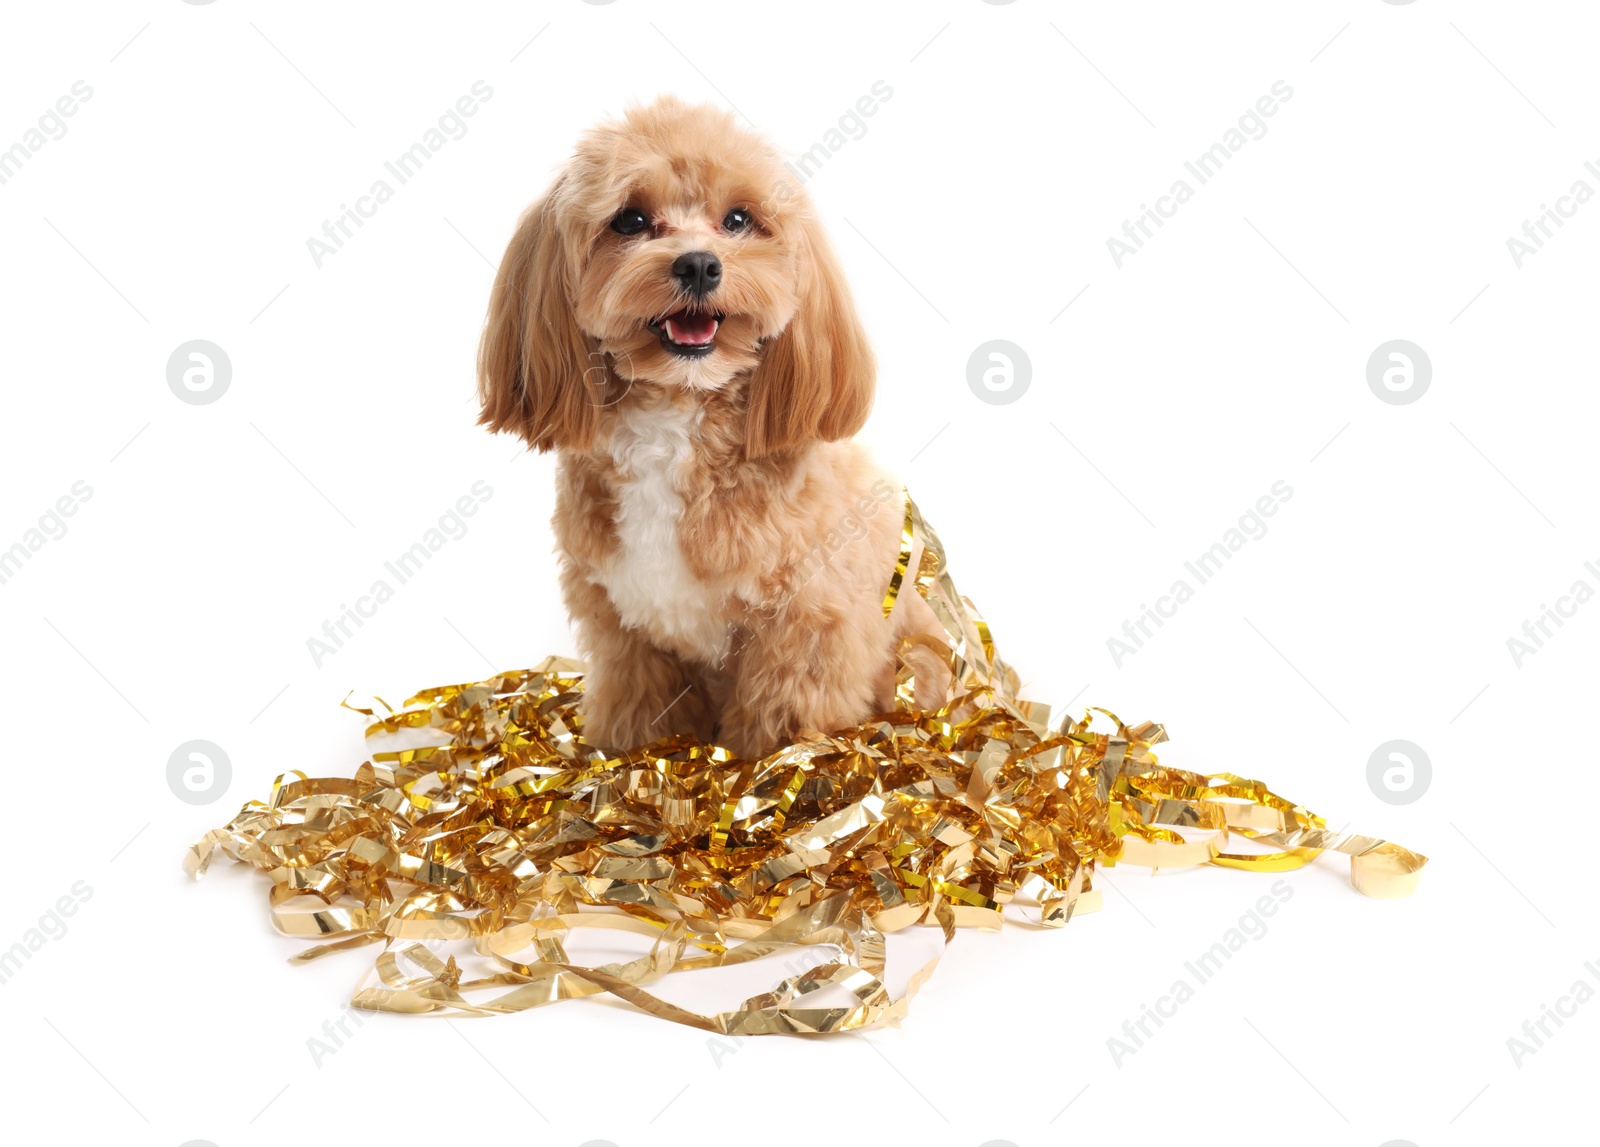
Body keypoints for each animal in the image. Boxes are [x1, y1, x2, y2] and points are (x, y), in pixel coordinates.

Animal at [473, 96, 947, 761]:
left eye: (739, 219)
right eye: (629, 220)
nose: (698, 263)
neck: (676, 423)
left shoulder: (805, 631)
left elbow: (781, 733)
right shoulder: (624, 631)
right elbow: (638, 718)